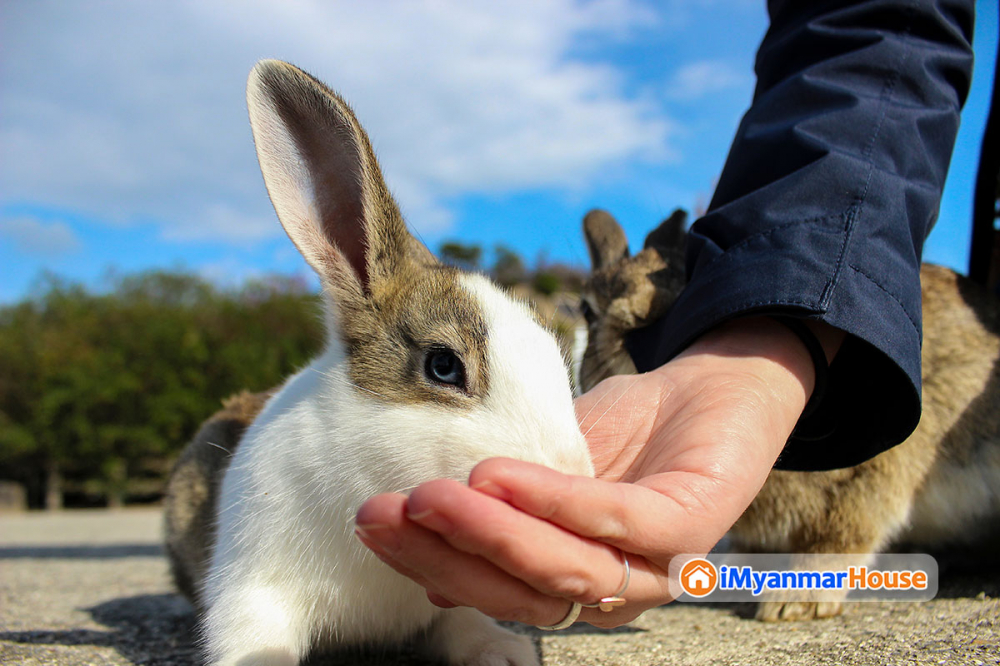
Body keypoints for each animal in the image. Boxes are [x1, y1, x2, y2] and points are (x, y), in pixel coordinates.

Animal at [164, 58, 592, 664]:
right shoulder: (252, 591)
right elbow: (255, 639)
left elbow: (461, 622)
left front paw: (503, 650)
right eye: (443, 365)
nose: (568, 474)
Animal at [576, 206, 1000, 616]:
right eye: (587, 310)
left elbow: (838, 537)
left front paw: (793, 603)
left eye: (689, 278)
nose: (638, 319)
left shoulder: (869, 476)